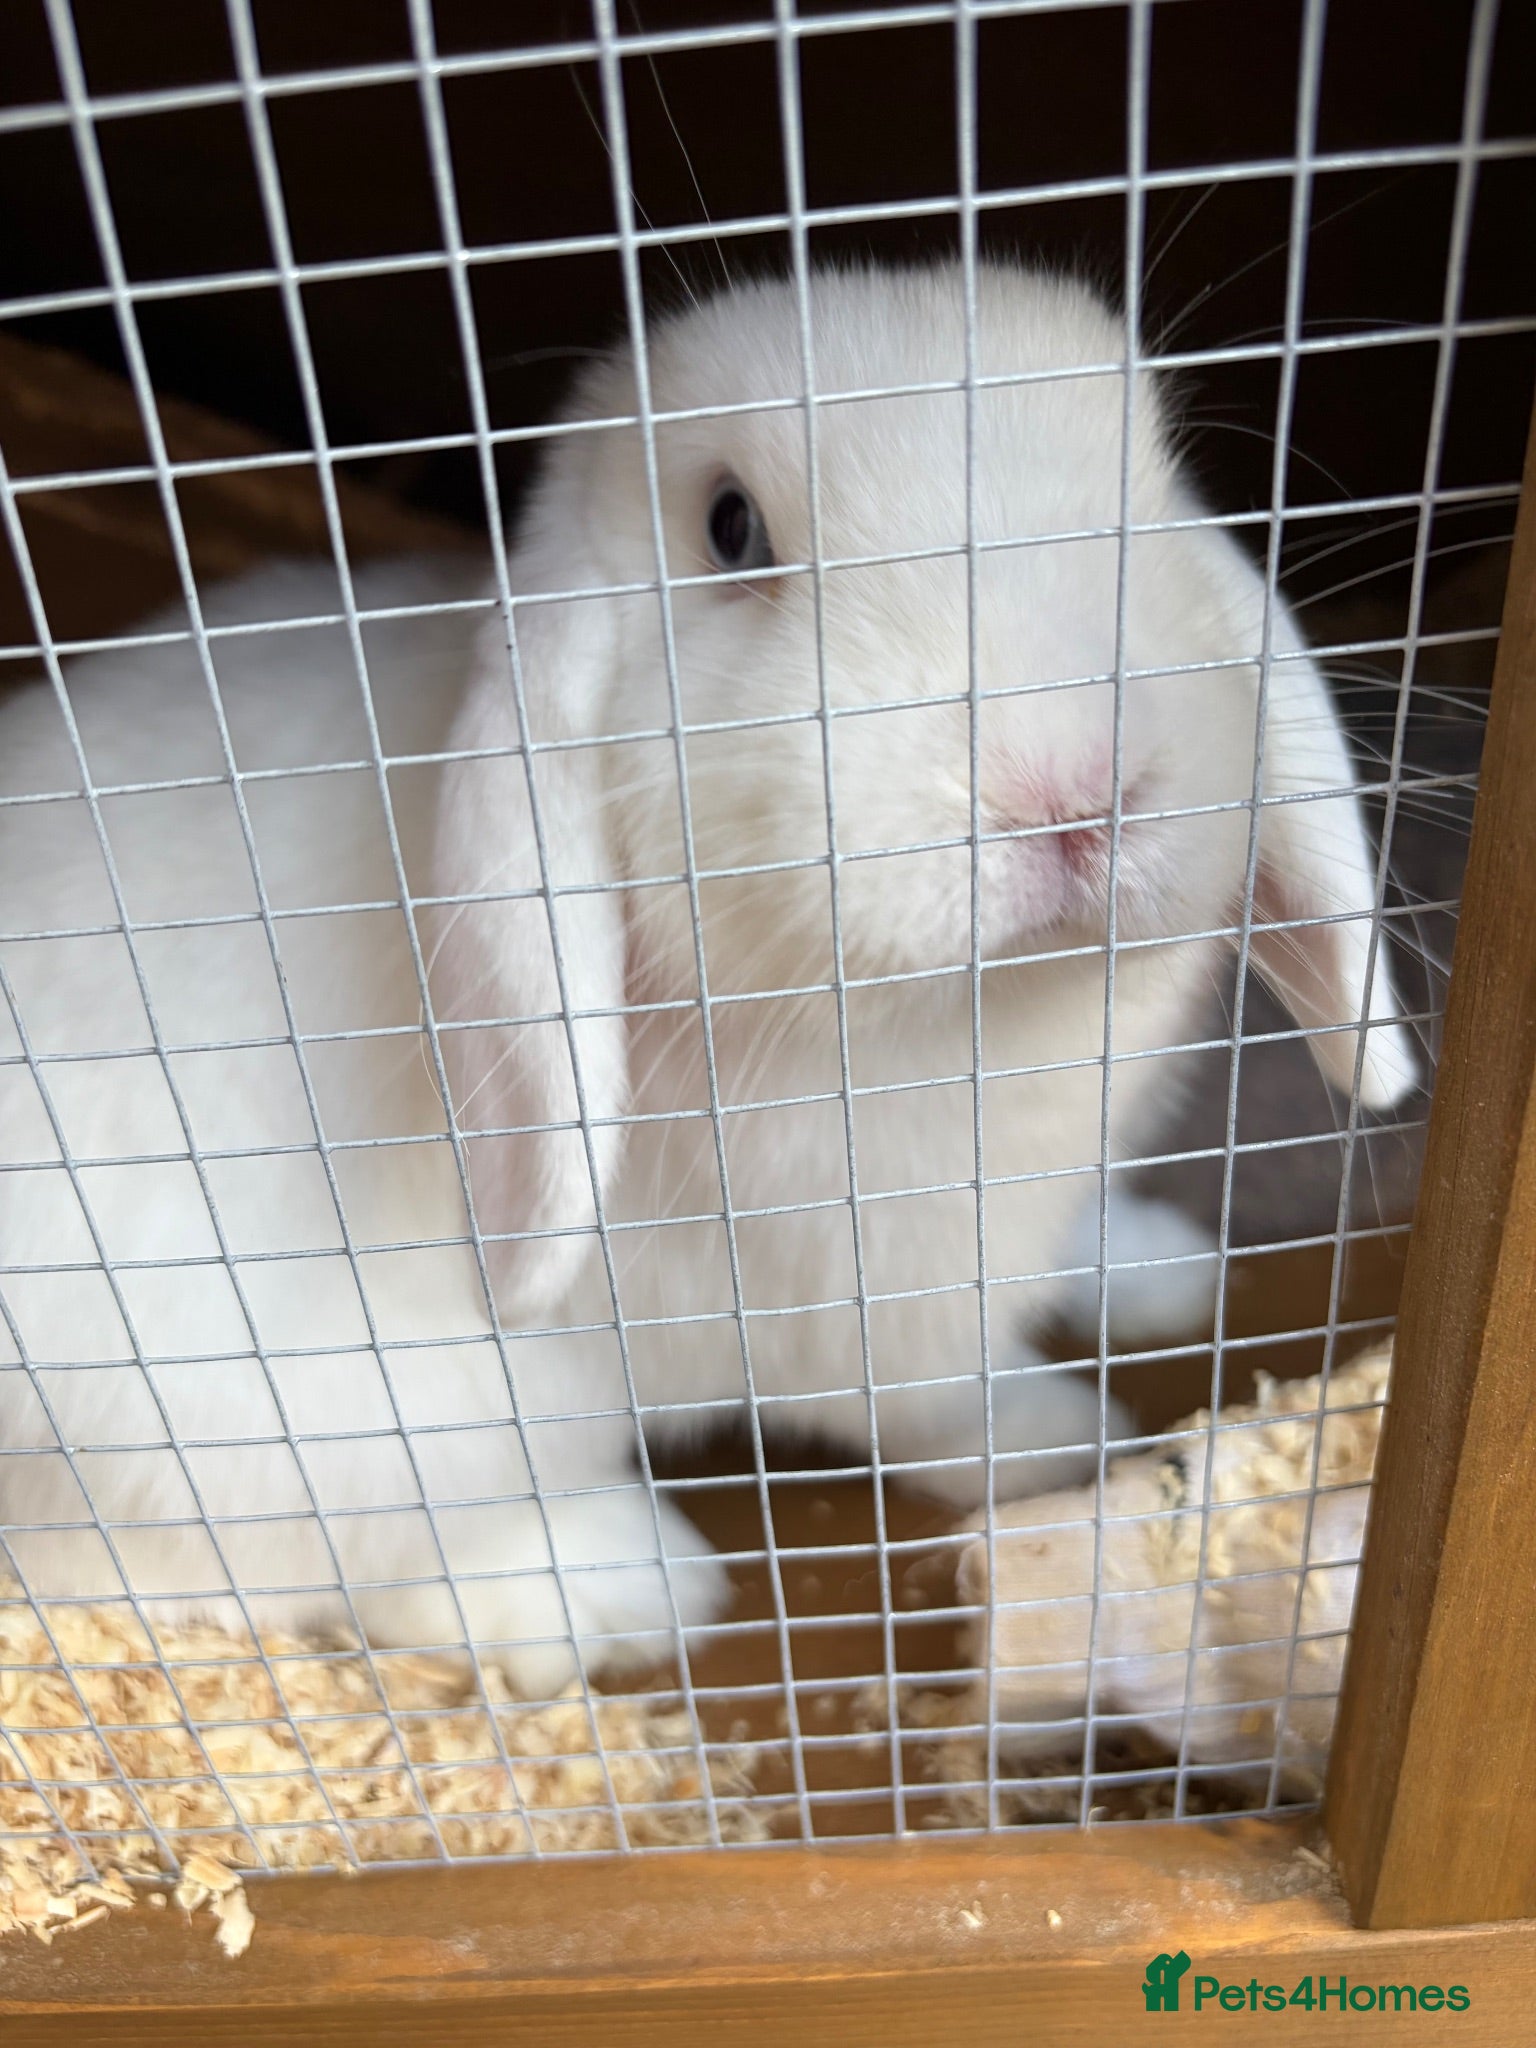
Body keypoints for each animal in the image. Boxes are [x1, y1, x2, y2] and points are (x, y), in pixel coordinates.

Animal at [0, 261, 1416, 1698]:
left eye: (1157, 473)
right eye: (733, 530)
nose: (1069, 785)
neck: (983, 1008)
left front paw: (1166, 1268)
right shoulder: (858, 1307)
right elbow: (944, 1401)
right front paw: (1075, 1437)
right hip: (308, 1438)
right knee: (288, 1572)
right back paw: (622, 1586)